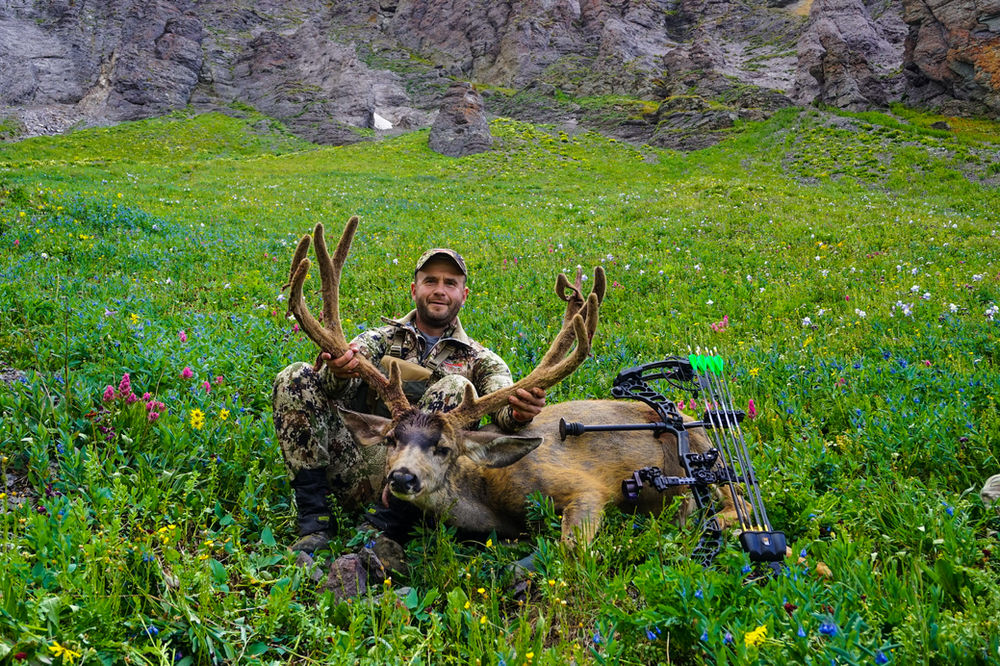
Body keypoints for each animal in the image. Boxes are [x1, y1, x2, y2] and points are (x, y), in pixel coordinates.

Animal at [285, 217, 747, 547]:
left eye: (444, 448)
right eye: (390, 440)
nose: (401, 478)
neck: (488, 500)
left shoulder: (586, 488)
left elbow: (570, 552)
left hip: (709, 466)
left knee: (731, 507)